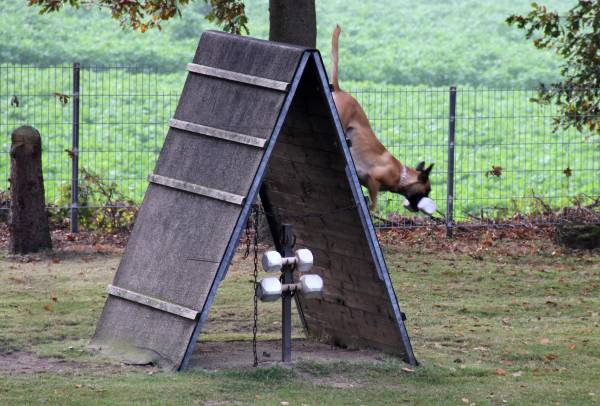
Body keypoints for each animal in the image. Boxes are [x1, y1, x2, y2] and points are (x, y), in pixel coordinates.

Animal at [331, 25, 436, 215]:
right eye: (427, 190)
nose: (429, 200)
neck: (400, 175)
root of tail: (339, 89)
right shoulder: (372, 179)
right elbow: (373, 205)